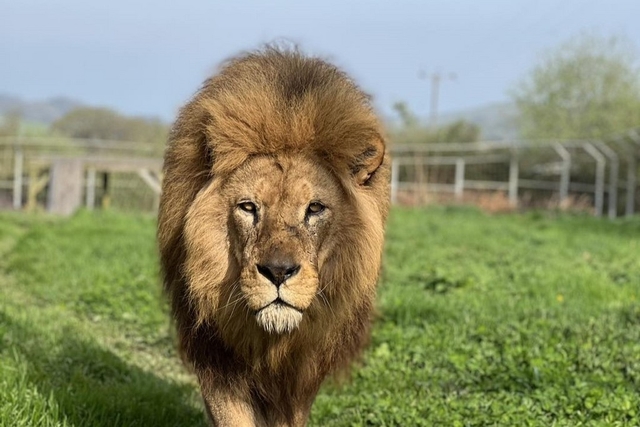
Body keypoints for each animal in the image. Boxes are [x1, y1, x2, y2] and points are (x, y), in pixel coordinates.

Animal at [159, 48, 390, 426]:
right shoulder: (216, 360)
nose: (278, 272)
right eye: (248, 207)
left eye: (314, 208)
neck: (270, 343)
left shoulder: (299, 377)